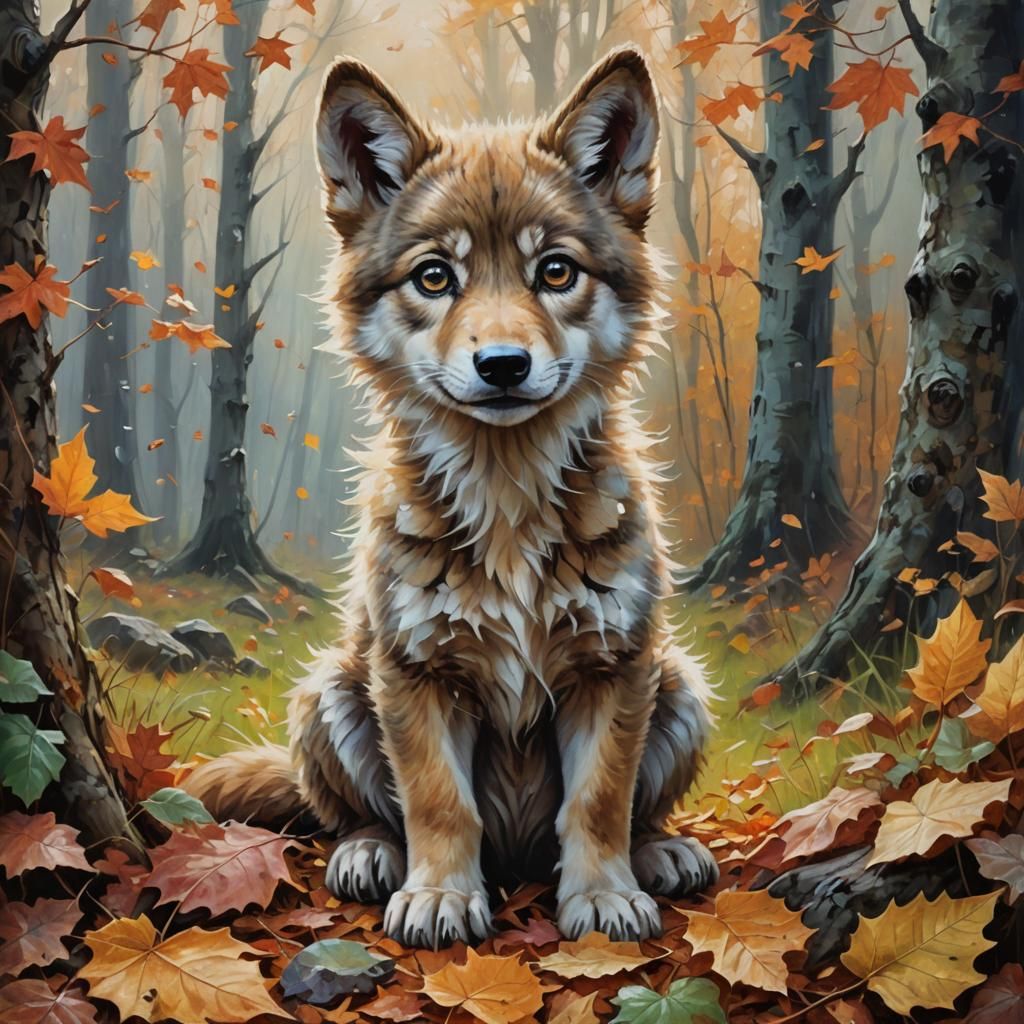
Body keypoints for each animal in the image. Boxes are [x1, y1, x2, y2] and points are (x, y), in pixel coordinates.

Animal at [185, 43, 717, 949]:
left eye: (555, 271)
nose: (502, 365)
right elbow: (437, 802)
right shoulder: (416, 672)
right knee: (359, 814)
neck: (506, 503)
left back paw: (662, 852)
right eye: (435, 278)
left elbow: (599, 802)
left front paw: (603, 896)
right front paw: (439, 897)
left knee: (636, 811)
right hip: (333, 688)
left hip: (679, 682)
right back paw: (368, 856)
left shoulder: (613, 668)